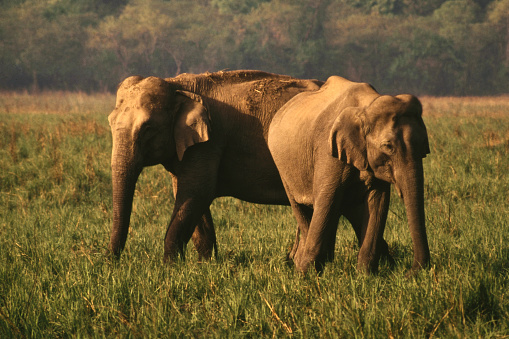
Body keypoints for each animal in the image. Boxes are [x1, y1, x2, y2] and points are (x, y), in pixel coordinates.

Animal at [106, 70, 322, 262]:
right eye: (110, 122)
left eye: (148, 128)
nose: (111, 262)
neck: (177, 85)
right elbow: (190, 197)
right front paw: (204, 264)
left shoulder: (209, 142)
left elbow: (196, 192)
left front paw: (169, 266)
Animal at [268, 75, 430, 274]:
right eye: (388, 146)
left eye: (424, 146)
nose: (408, 273)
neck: (367, 106)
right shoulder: (328, 151)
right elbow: (327, 199)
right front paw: (306, 275)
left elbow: (377, 203)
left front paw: (366, 276)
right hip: (282, 166)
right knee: (303, 209)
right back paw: (303, 266)